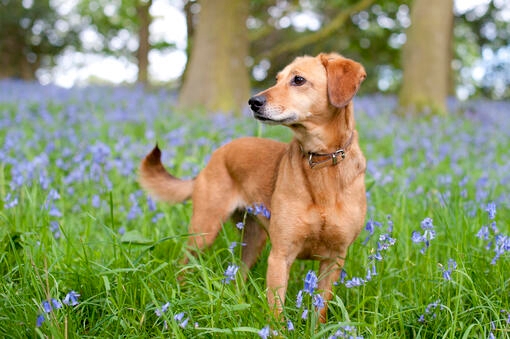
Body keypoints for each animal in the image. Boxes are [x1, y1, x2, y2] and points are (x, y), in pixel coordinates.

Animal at [139, 53, 366, 324]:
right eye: (277, 79)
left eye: (298, 80)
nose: (253, 102)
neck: (321, 162)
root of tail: (216, 155)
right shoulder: (280, 256)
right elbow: (276, 313)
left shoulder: (334, 259)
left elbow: (319, 311)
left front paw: (316, 328)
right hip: (204, 232)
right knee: (184, 265)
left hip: (254, 240)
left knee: (239, 275)